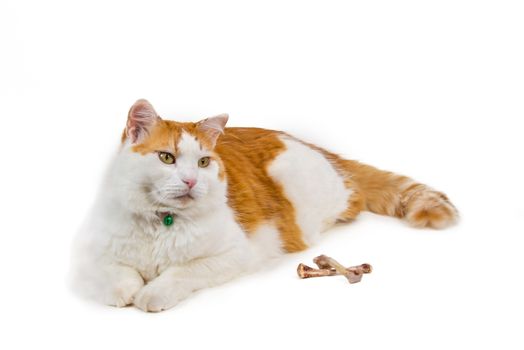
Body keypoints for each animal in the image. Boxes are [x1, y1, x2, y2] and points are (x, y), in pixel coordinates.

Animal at [70, 98, 458, 312]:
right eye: (167, 157)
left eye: (203, 162)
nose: (192, 181)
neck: (162, 223)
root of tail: (319, 148)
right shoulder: (87, 254)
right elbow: (117, 277)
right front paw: (130, 289)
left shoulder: (236, 254)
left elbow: (181, 272)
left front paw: (151, 292)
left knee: (352, 200)